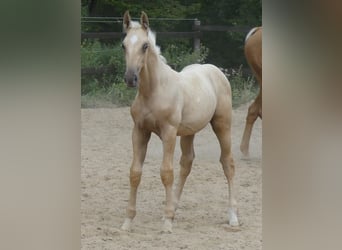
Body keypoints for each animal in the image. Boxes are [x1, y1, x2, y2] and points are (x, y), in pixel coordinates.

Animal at [120, 10, 240, 233]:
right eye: (123, 45)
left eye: (145, 45)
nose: (131, 78)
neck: (154, 90)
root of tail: (217, 70)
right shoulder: (139, 131)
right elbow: (135, 172)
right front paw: (128, 221)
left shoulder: (168, 132)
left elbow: (166, 172)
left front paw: (167, 224)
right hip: (188, 132)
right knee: (187, 162)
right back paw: (174, 209)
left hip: (222, 124)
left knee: (228, 163)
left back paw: (233, 216)